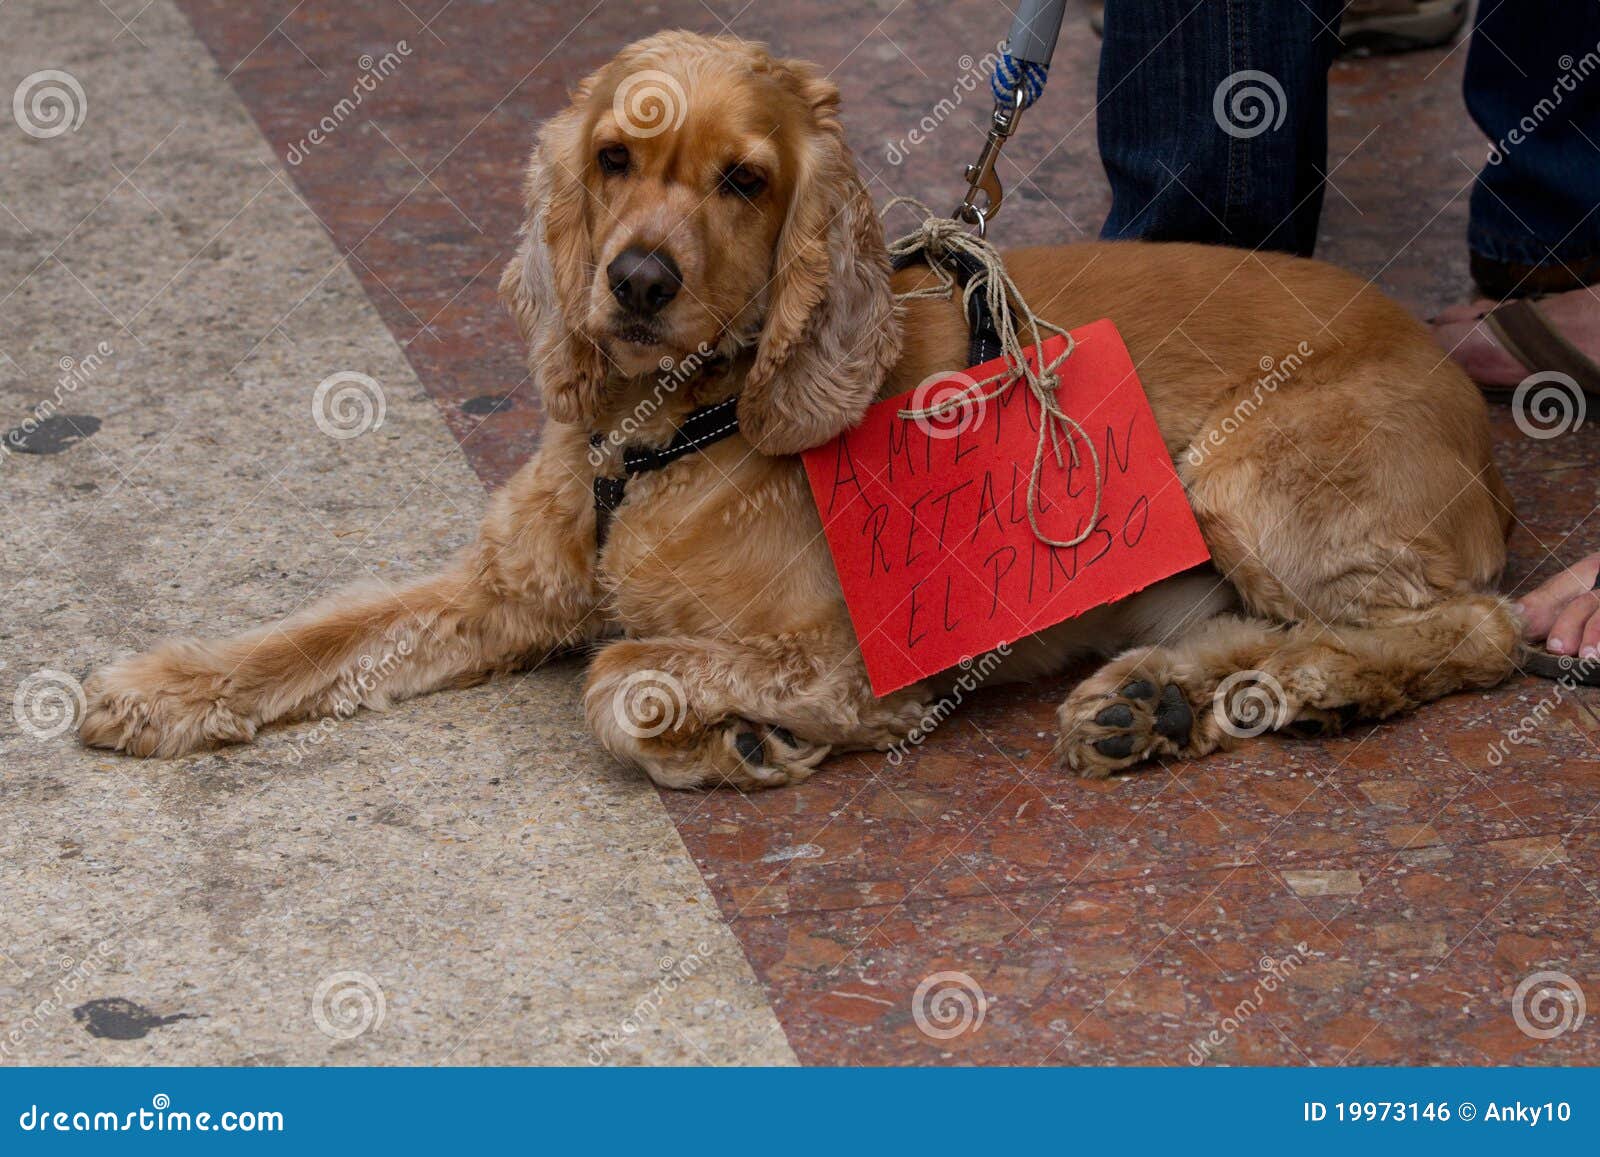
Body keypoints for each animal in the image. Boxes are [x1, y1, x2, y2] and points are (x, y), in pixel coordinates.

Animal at [81, 36, 1516, 790]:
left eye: (744, 179)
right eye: (612, 158)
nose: (636, 283)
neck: (659, 438)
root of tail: (1466, 394)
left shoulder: (848, 656)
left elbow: (617, 675)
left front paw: (739, 737)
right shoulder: (501, 588)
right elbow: (322, 635)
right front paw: (161, 686)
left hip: (1256, 478)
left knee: (1469, 628)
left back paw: (1303, 686)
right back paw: (1159, 703)